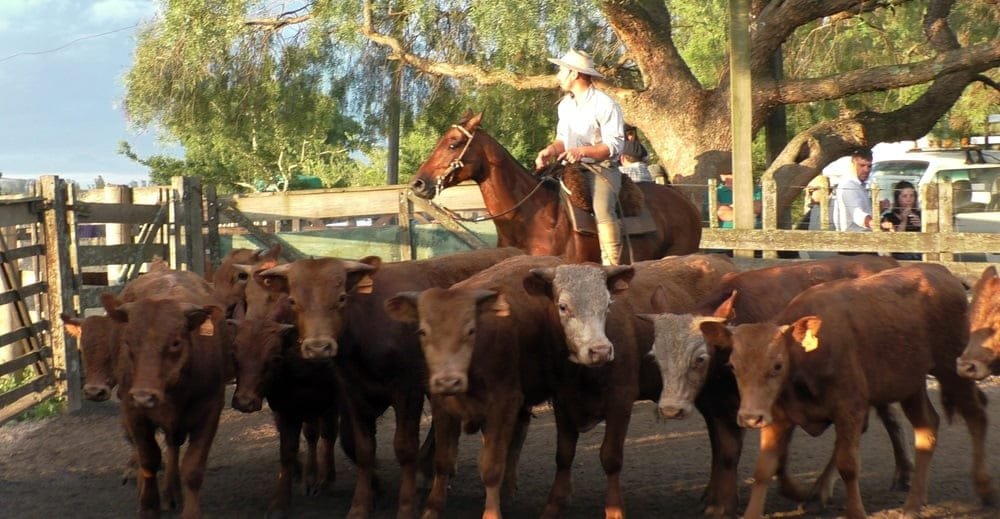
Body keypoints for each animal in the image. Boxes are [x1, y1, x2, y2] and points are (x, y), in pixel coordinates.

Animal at [104, 275, 232, 519]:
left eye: (175, 342)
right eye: (128, 342)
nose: (144, 396)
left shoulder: (211, 410)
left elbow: (193, 467)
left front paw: (191, 512)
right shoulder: (133, 411)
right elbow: (149, 459)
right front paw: (148, 505)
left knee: (174, 446)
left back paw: (171, 492)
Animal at [256, 247, 523, 519]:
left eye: (341, 297)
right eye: (292, 301)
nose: (318, 347)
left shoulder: (408, 391)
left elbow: (405, 449)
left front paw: (406, 506)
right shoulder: (352, 393)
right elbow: (363, 449)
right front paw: (360, 505)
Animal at [642, 255, 908, 516]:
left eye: (699, 358)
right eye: (656, 356)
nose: (670, 409)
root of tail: (885, 263)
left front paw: (794, 491)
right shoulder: (718, 409)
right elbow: (726, 454)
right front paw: (720, 505)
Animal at [699, 264, 994, 519]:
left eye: (777, 365)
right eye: (733, 366)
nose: (750, 417)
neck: (807, 355)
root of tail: (943, 273)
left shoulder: (849, 410)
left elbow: (848, 465)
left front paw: (855, 511)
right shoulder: (778, 417)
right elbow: (764, 469)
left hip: (953, 369)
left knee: (976, 416)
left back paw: (984, 488)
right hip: (910, 384)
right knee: (927, 428)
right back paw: (913, 504)